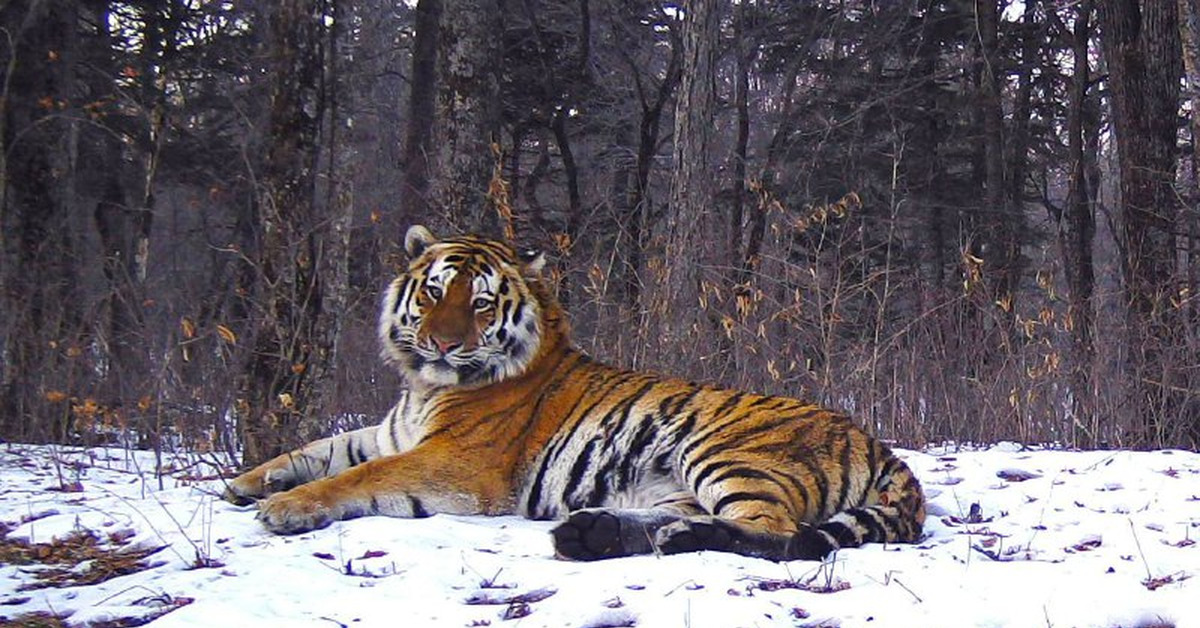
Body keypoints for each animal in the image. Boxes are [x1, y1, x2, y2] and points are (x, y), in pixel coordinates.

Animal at [225, 224, 926, 559]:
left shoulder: (457, 462)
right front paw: (246, 482)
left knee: (781, 536)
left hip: (727, 452)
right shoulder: (389, 431)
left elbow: (357, 476)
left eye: (480, 304)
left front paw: (286, 508)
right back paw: (596, 535)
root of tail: (880, 445)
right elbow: (323, 448)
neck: (425, 386)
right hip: (677, 482)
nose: (443, 344)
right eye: (434, 292)